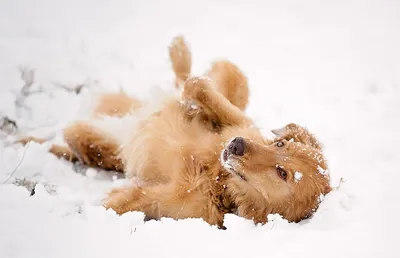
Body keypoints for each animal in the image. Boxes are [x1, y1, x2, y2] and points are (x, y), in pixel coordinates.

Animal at [18, 35, 332, 227]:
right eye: (280, 146)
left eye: (282, 173)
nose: (237, 145)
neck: (217, 178)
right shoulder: (240, 124)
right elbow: (200, 86)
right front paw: (191, 101)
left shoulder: (172, 205)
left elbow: (120, 203)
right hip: (234, 77)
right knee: (199, 76)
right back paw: (179, 53)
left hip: (92, 136)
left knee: (76, 137)